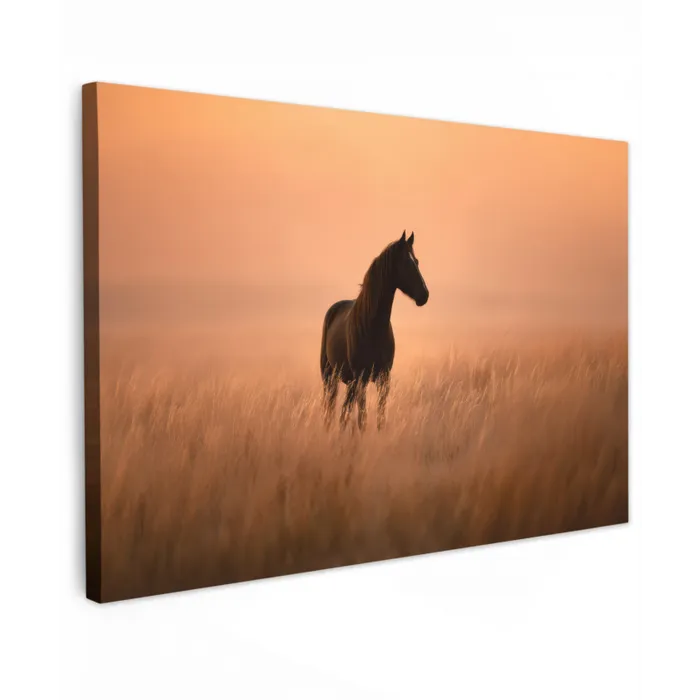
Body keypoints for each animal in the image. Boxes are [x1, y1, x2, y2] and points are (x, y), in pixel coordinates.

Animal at [319, 230, 429, 432]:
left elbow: (380, 417)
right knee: (330, 409)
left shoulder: (383, 379)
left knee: (344, 413)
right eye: (406, 263)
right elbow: (362, 418)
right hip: (330, 377)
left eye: (416, 261)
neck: (373, 328)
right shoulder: (361, 378)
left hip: (350, 382)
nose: (424, 295)